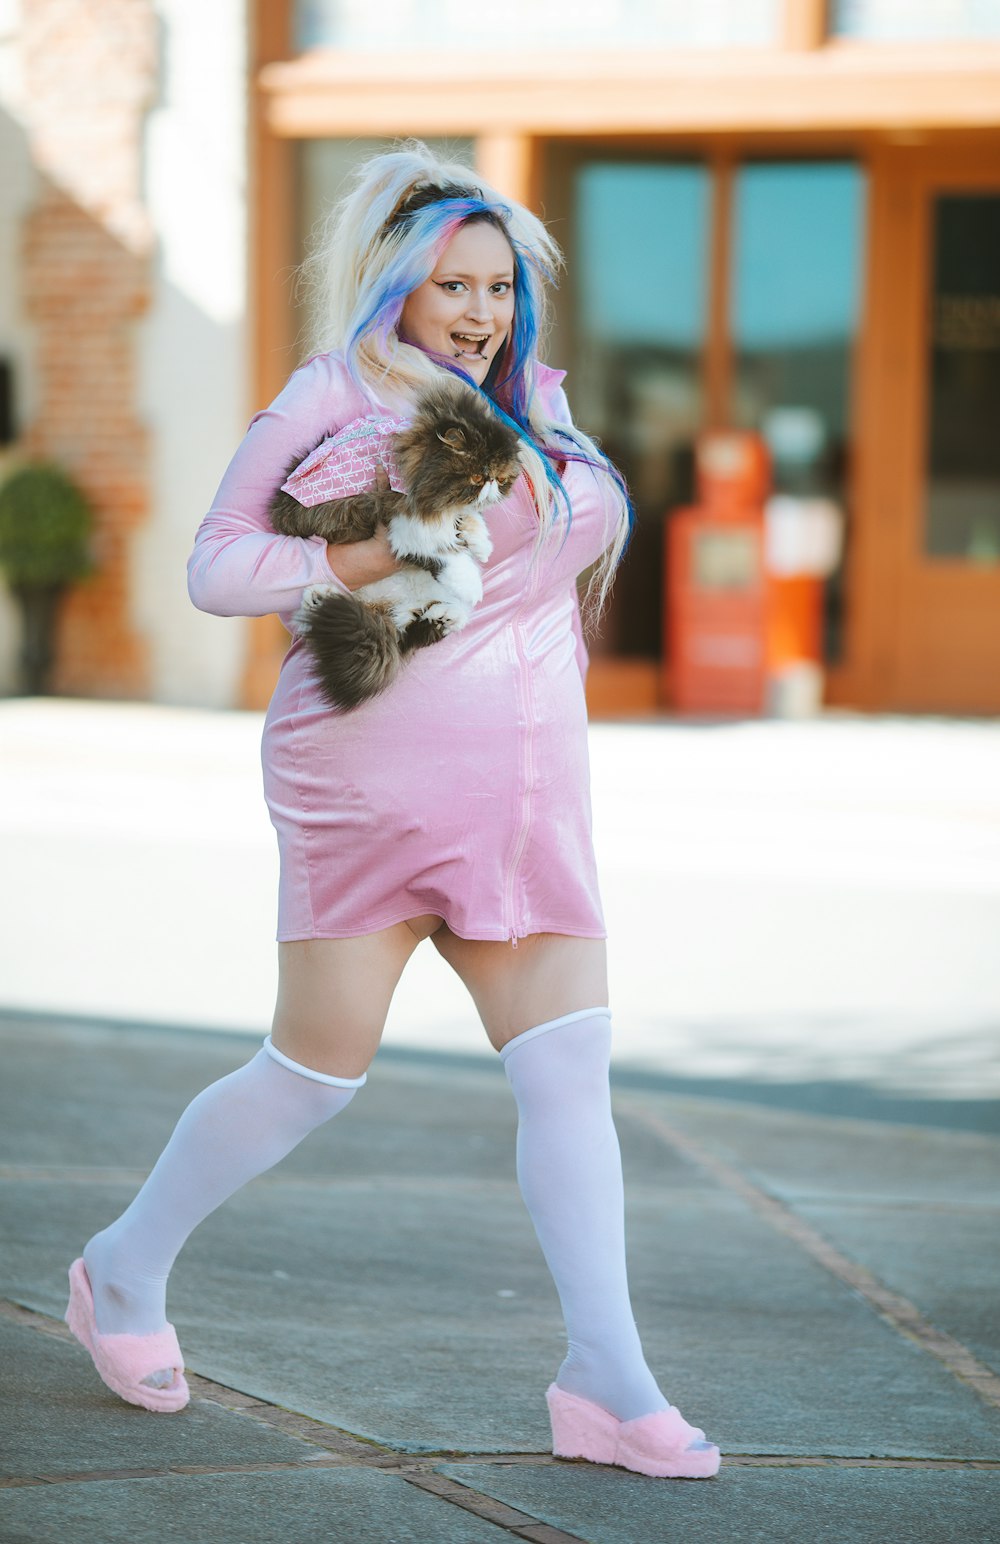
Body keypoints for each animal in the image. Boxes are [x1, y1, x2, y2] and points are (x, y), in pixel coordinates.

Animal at [270, 379, 527, 710]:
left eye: (501, 479)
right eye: (477, 477)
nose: (492, 487)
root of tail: (379, 609)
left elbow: (464, 522)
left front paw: (480, 543)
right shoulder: (404, 519)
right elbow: (445, 552)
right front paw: (471, 582)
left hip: (414, 607)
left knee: (418, 628)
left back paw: (440, 615)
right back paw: (321, 597)